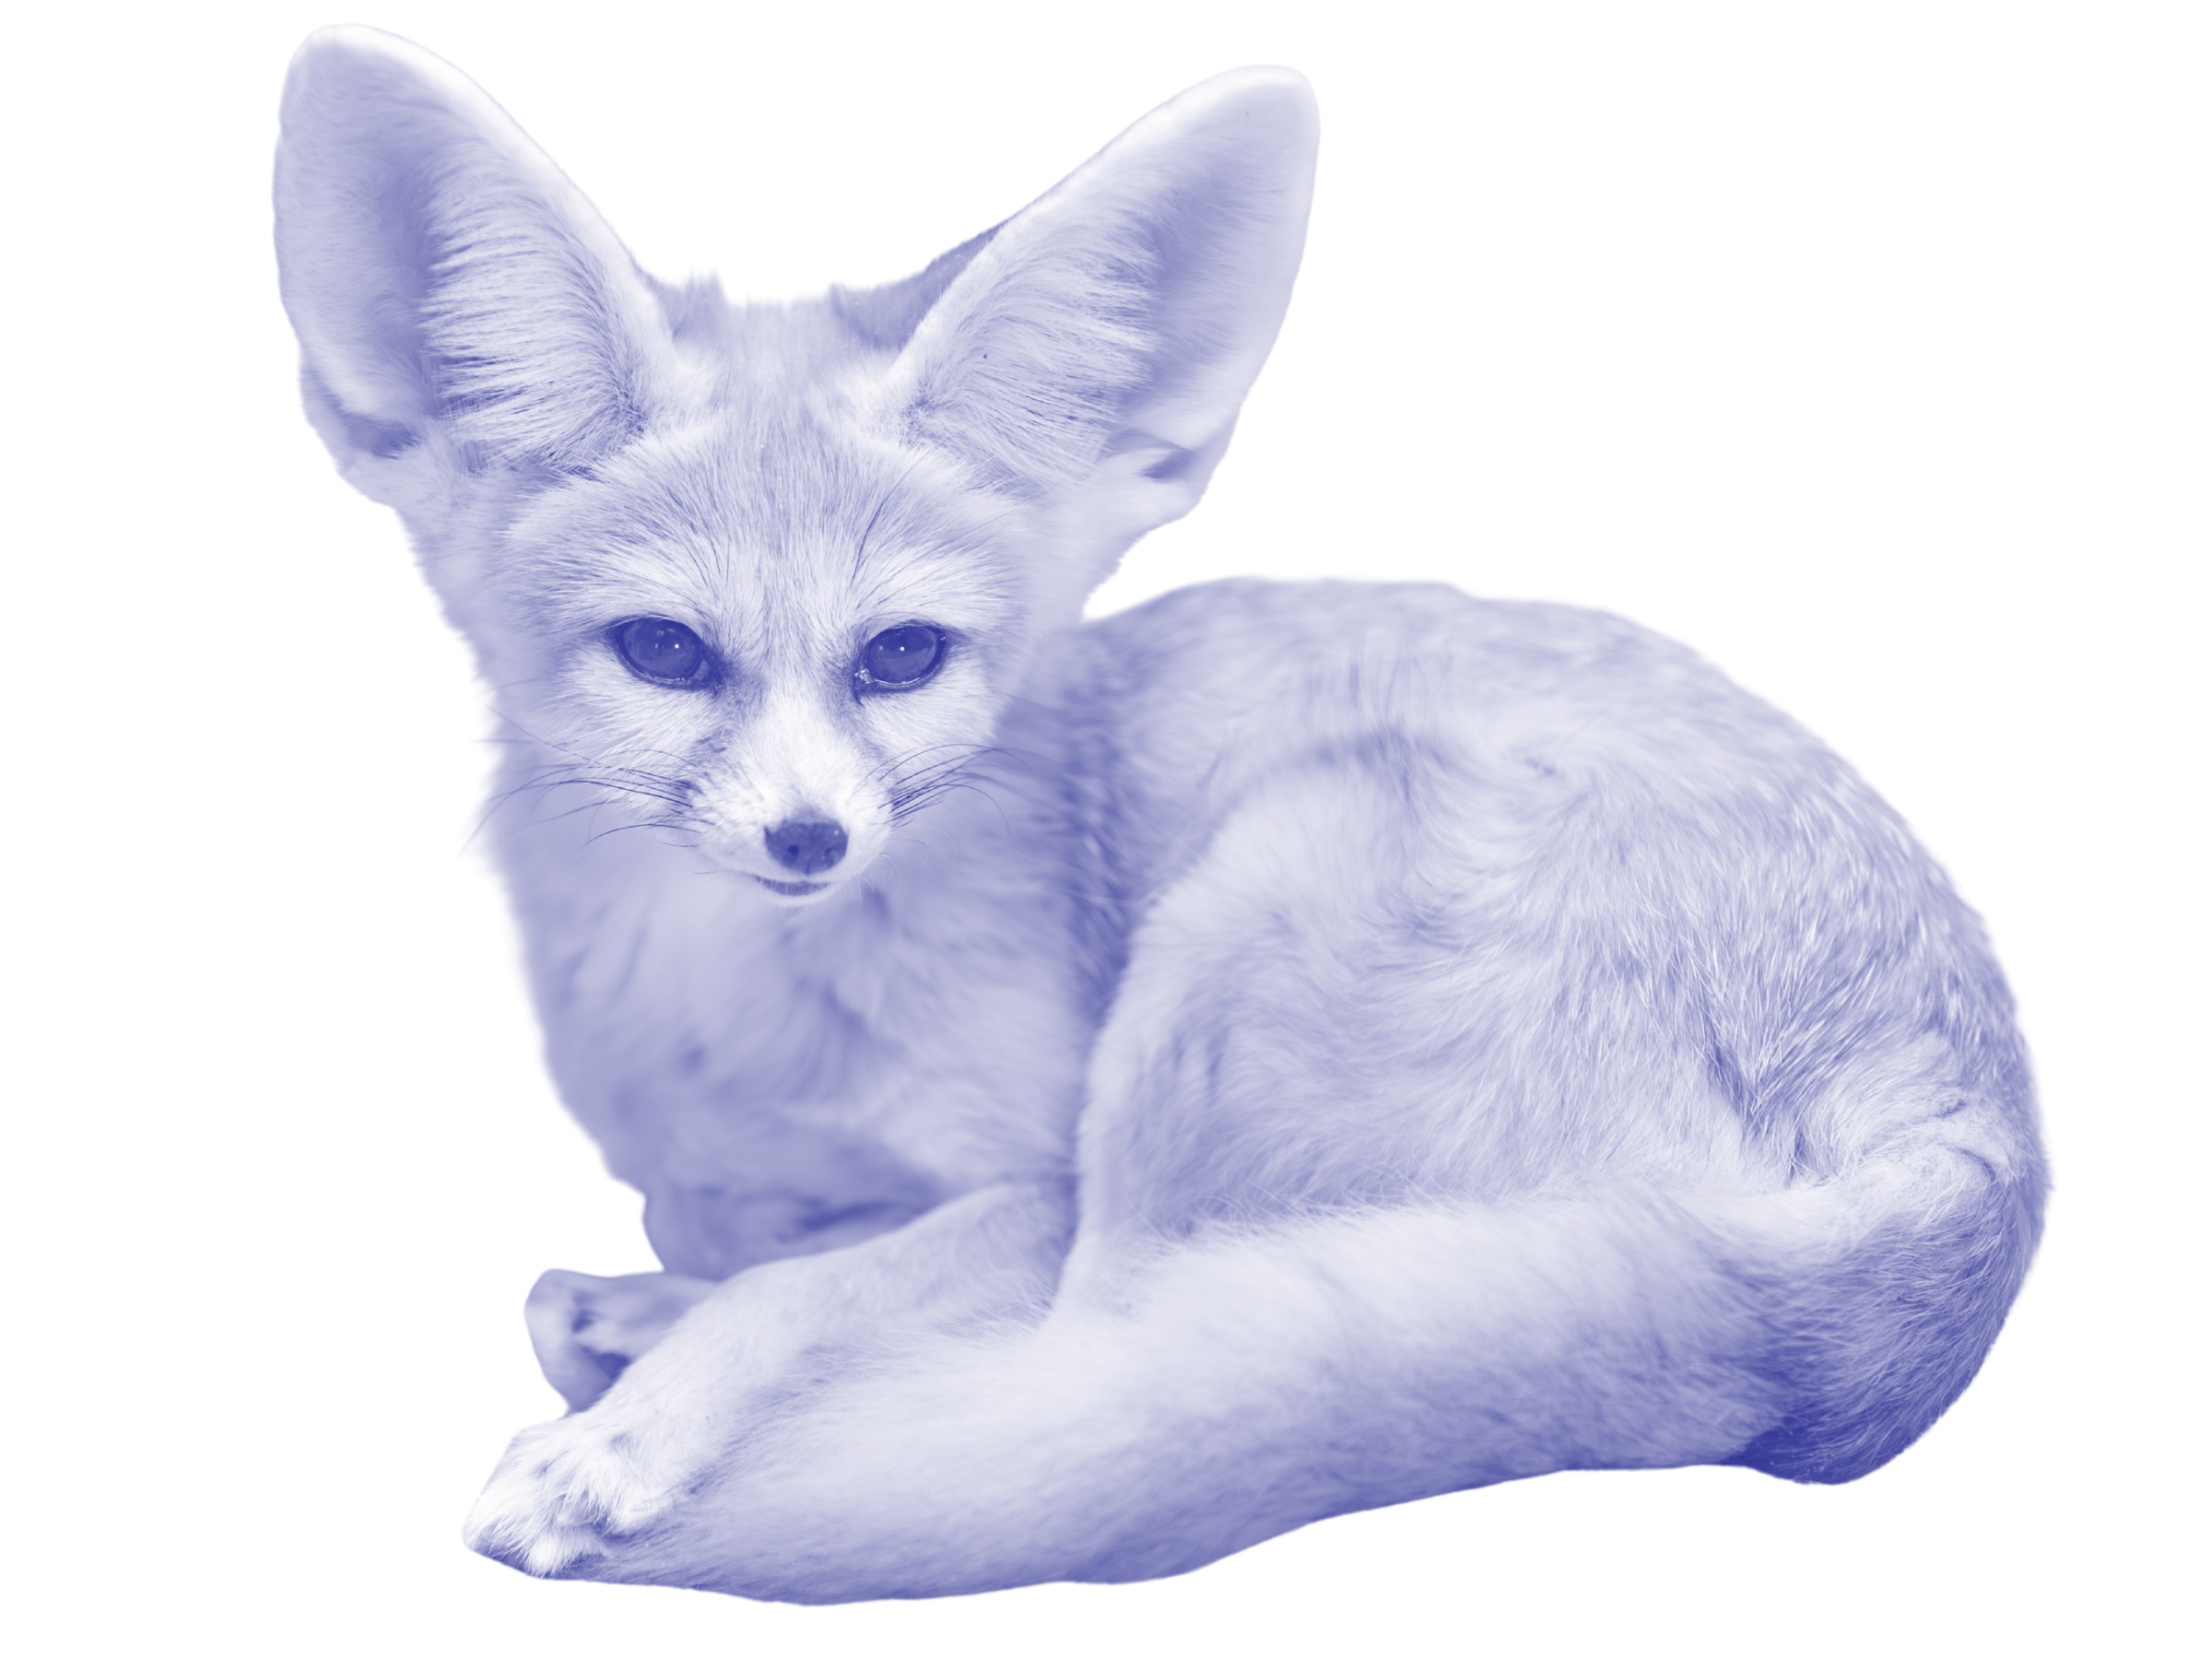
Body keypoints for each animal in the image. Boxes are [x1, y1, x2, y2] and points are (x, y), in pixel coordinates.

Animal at [273, 24, 2051, 1605]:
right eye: (664, 653)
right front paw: (667, 1317)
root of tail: (1979, 1145)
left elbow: (819, 1295)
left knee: (1079, 1395)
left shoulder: (1030, 1186)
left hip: (1252, 919)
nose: (808, 842)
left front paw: (642, 1425)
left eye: (901, 657)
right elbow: (793, 1266)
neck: (737, 1029)